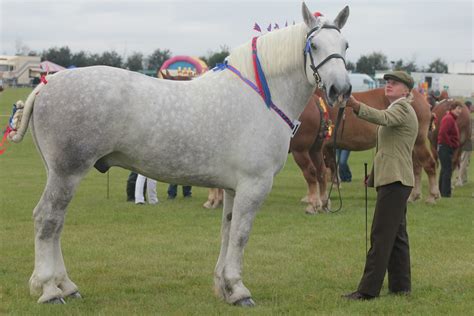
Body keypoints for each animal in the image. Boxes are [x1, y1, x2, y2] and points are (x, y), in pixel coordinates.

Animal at [11, 2, 352, 306]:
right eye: (314, 45)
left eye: (345, 45)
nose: (341, 89)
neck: (259, 98)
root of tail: (47, 84)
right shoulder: (254, 184)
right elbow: (241, 235)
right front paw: (240, 290)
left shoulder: (234, 188)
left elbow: (227, 231)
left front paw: (225, 288)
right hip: (67, 172)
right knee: (47, 220)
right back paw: (50, 291)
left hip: (60, 174)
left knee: (56, 224)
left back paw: (66, 286)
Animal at [294, 87, 438, 214]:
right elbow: (326, 169)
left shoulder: (317, 147)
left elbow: (318, 171)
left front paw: (313, 199)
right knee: (416, 168)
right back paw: (413, 196)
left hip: (418, 142)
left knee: (429, 164)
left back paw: (432, 196)